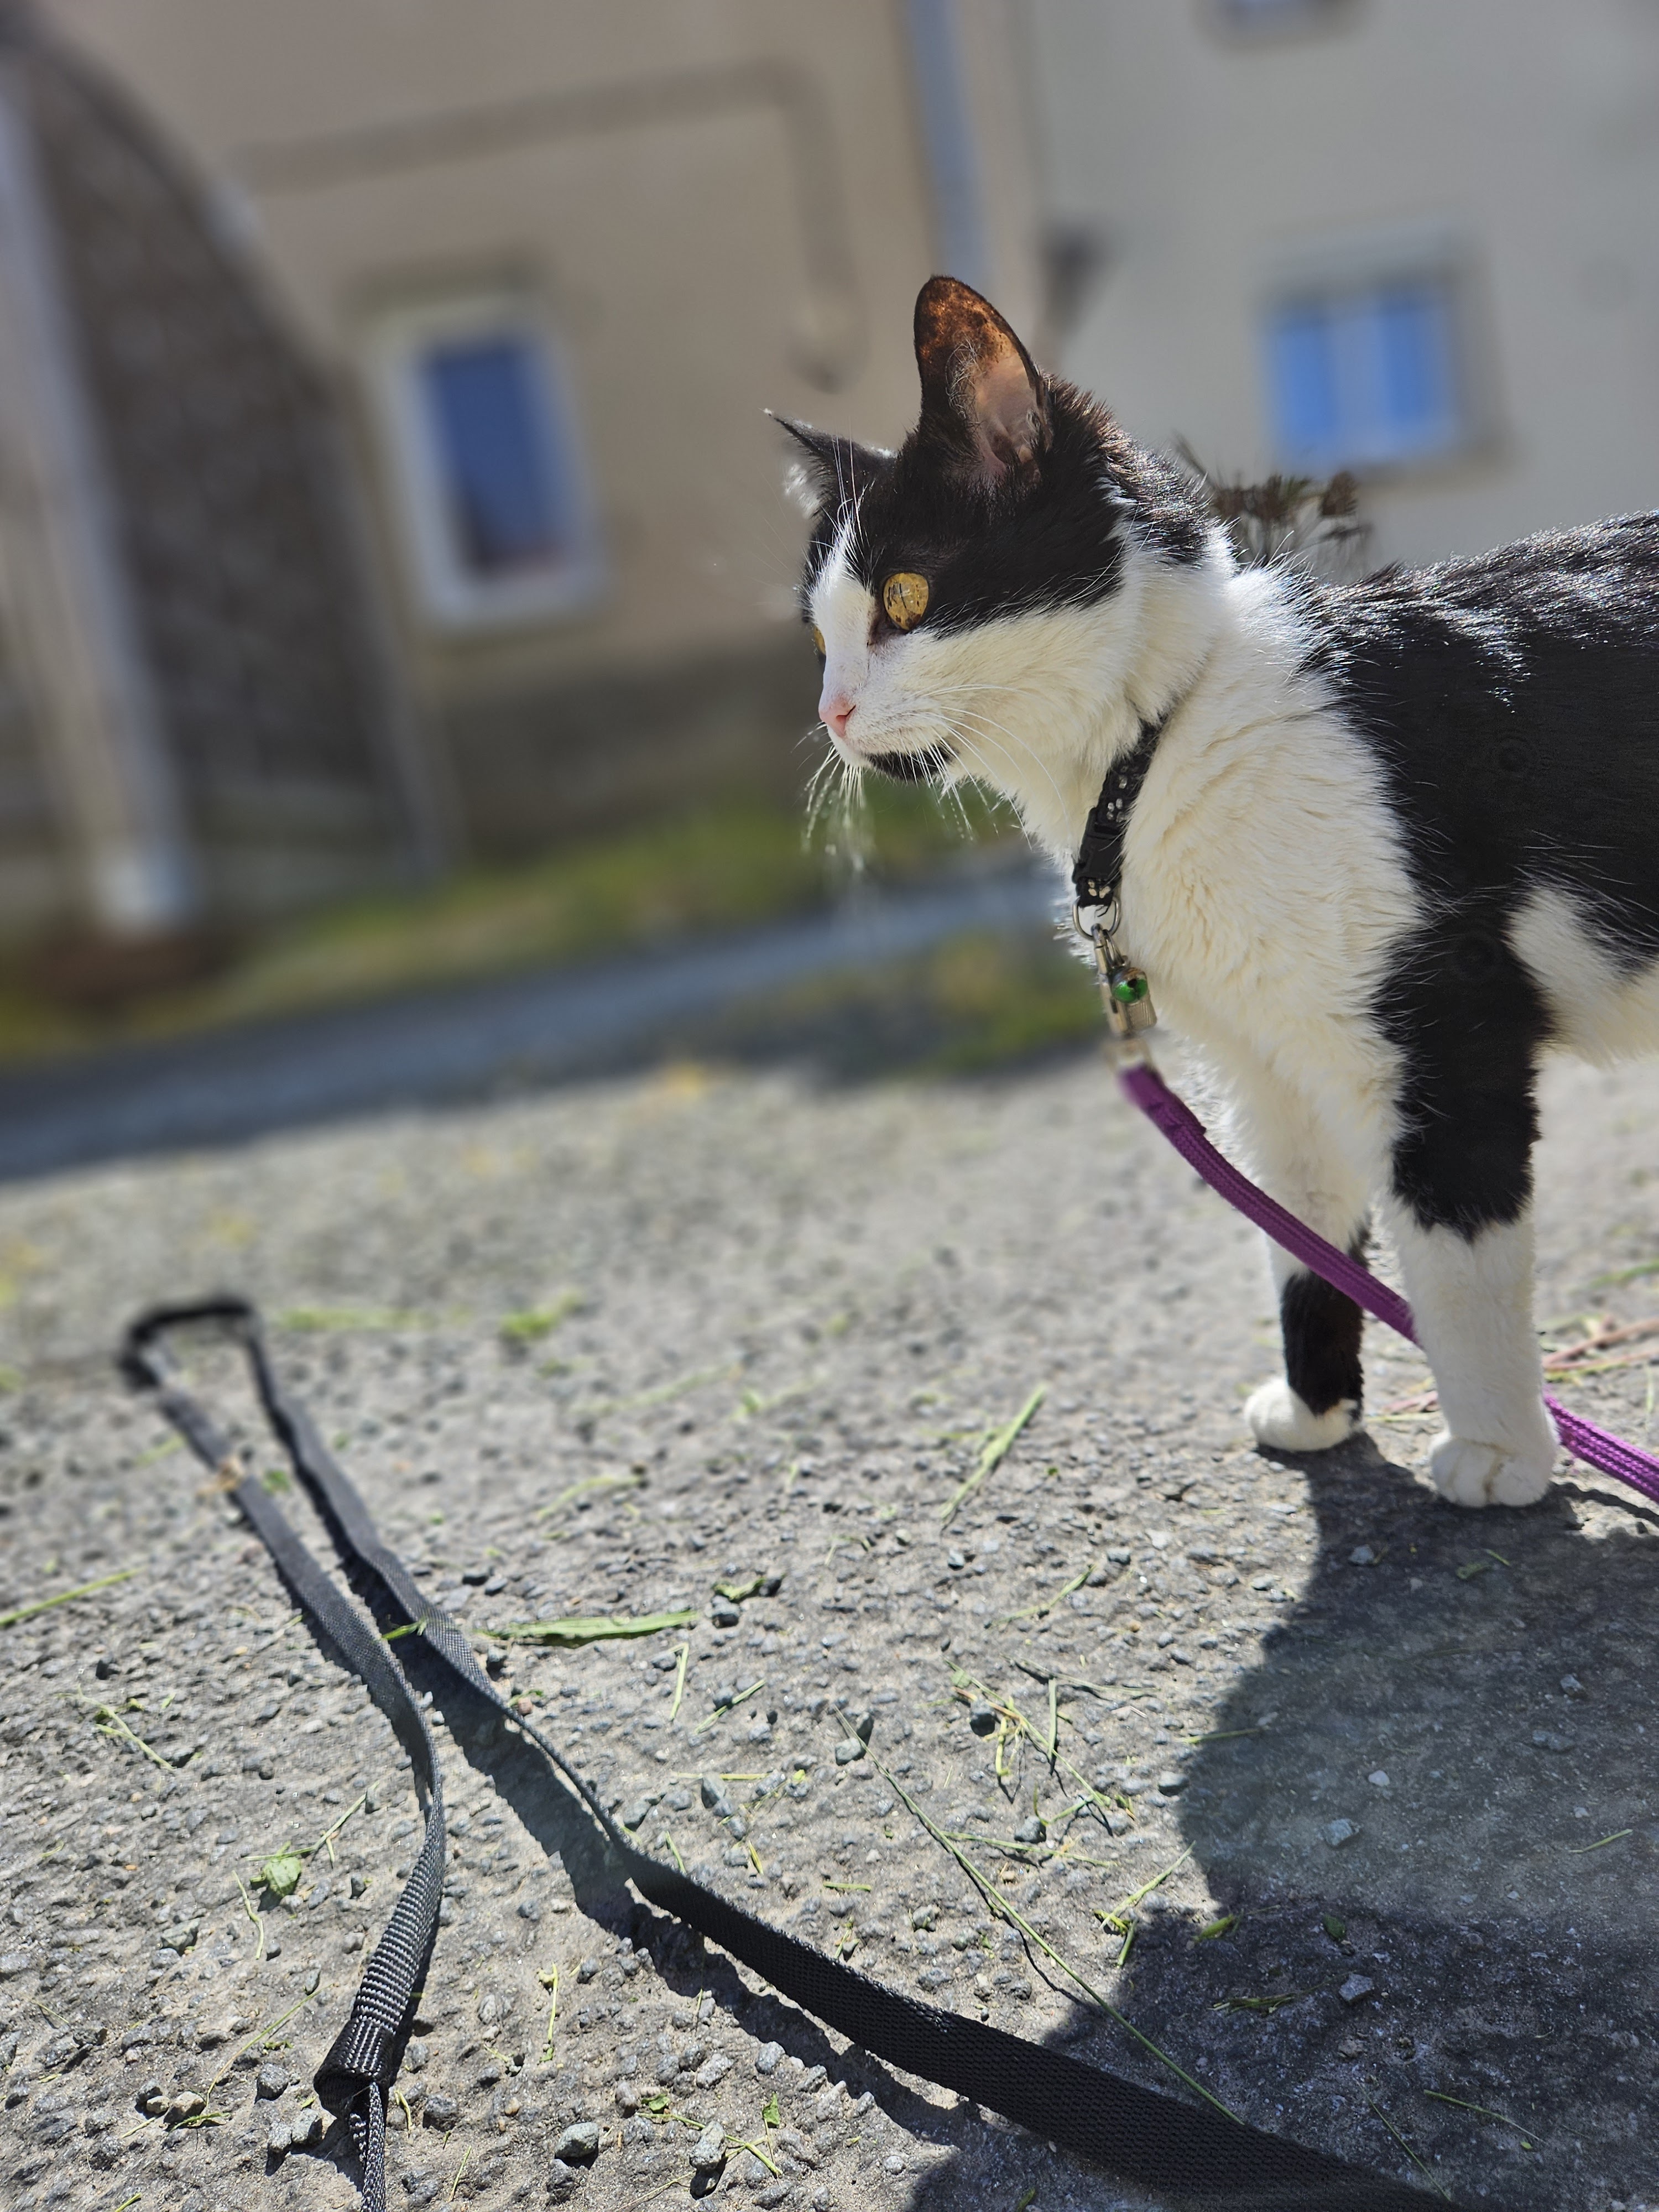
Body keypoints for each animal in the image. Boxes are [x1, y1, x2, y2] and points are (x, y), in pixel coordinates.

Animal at [779, 274, 1659, 1510]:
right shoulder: (1268, 1069)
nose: (833, 713)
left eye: (906, 597)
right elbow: (1300, 1236)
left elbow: (1457, 1260)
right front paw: (1317, 1408)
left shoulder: (1444, 1037)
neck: (1166, 741)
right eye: (818, 633)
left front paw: (1498, 1450)